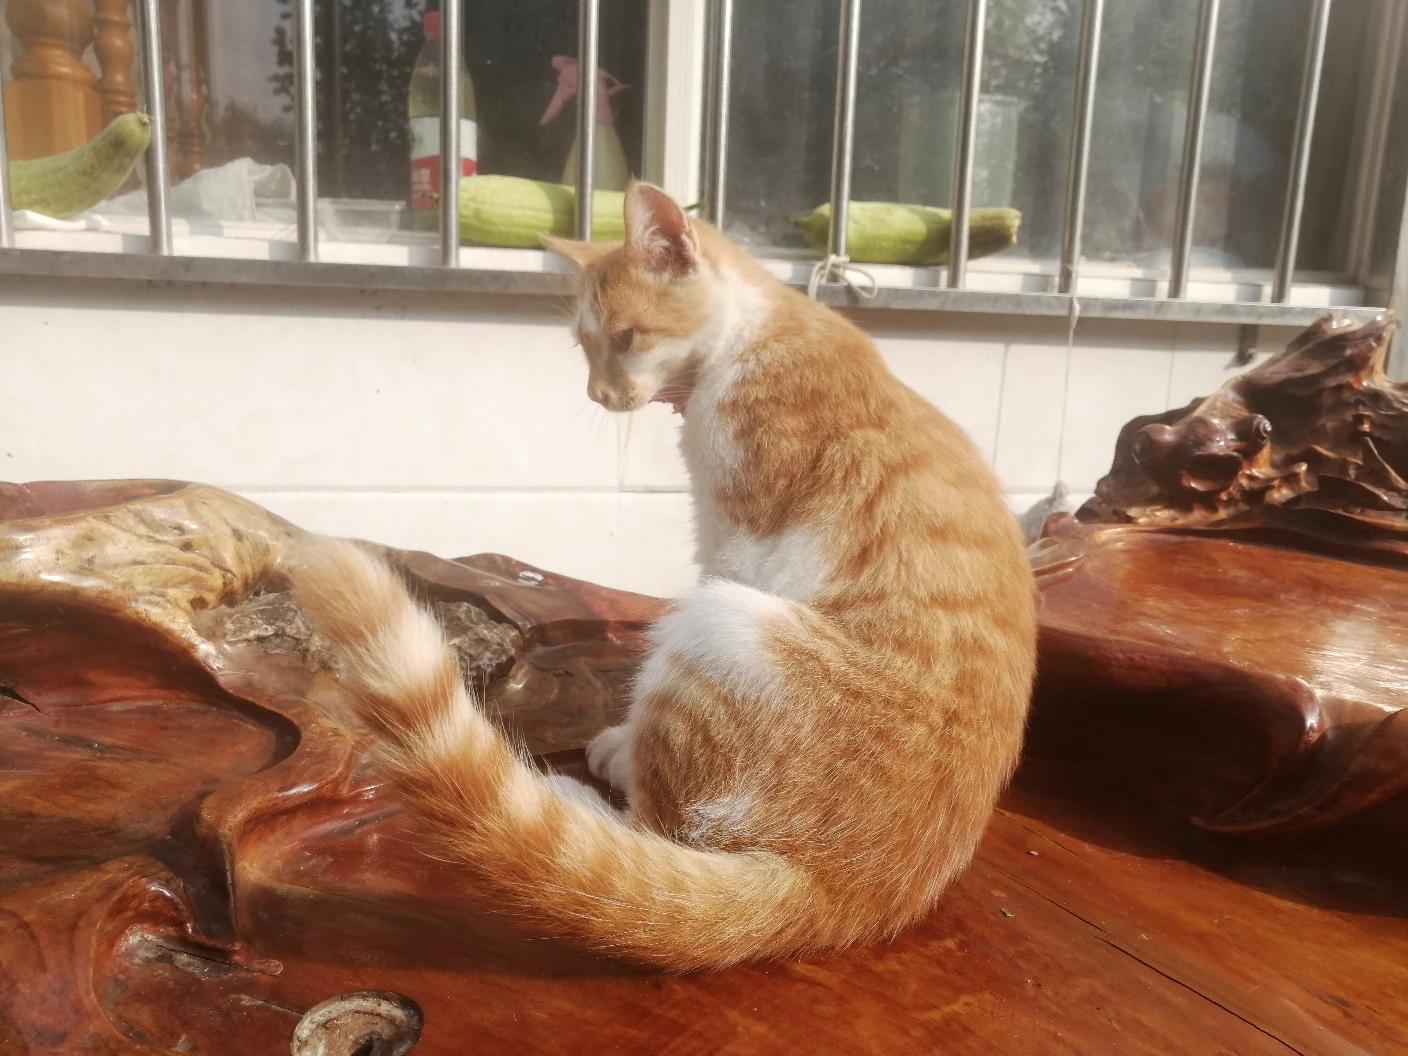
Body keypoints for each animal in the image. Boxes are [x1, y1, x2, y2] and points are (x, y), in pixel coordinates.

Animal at [291, 181, 1041, 974]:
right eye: (585, 347)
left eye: (626, 338)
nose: (598, 395)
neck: (755, 334)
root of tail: (850, 894)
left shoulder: (736, 544)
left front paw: (619, 743)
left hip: (723, 625)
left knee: (644, 848)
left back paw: (589, 799)